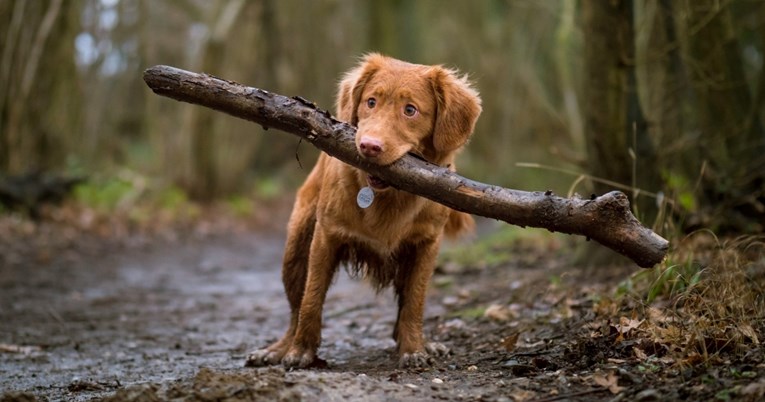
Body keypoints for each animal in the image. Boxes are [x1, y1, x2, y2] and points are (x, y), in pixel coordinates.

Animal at [248, 54, 480, 370]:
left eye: (410, 110)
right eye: (371, 102)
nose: (369, 146)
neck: (388, 197)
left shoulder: (426, 245)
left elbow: (414, 302)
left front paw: (414, 349)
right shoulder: (326, 236)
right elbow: (311, 298)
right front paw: (301, 351)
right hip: (295, 249)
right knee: (296, 307)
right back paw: (279, 348)